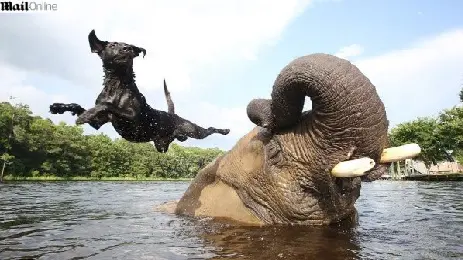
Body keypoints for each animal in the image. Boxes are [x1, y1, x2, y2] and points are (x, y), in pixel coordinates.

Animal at [49, 29, 230, 153]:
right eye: (113, 45)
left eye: (129, 46)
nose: (127, 49)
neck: (117, 84)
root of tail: (172, 115)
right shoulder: (98, 124)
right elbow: (80, 106)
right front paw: (60, 107)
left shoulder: (132, 116)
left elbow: (107, 106)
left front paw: (85, 114)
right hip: (164, 145)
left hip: (193, 130)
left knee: (209, 129)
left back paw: (224, 130)